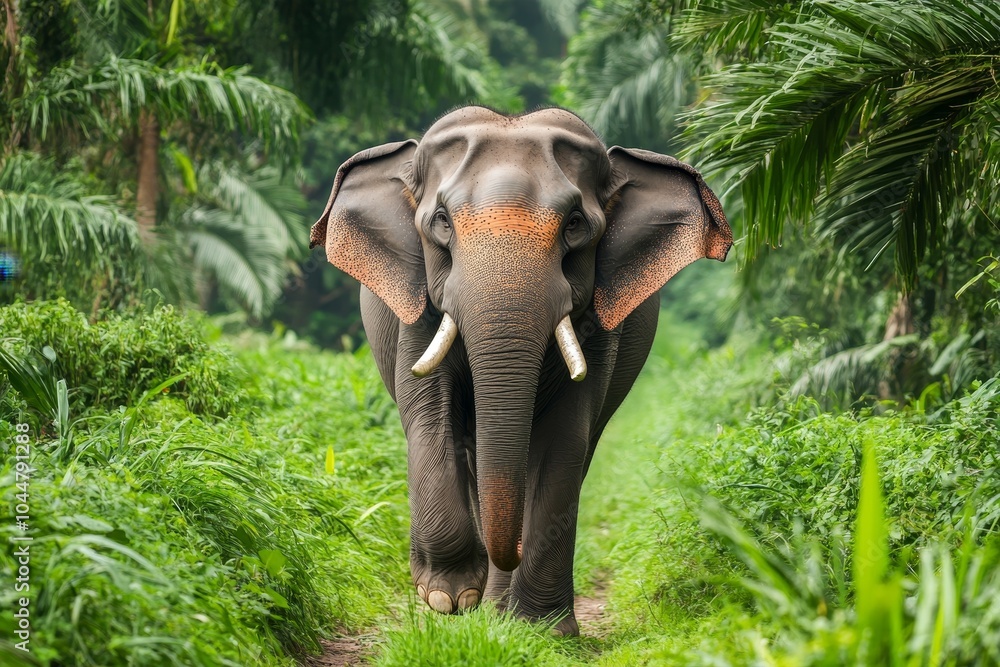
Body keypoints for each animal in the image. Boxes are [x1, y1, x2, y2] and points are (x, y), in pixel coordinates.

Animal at [309, 105, 732, 635]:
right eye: (441, 222)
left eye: (575, 224)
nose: (499, 559)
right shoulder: (415, 303)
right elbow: (427, 411)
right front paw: (448, 597)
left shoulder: (601, 322)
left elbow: (565, 436)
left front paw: (542, 629)